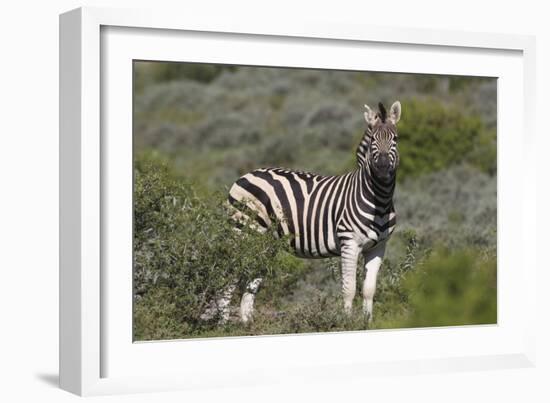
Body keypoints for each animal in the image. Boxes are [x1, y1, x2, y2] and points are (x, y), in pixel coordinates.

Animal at [222, 102, 404, 326]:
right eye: (372, 141)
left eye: (395, 139)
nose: (383, 167)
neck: (379, 199)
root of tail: (246, 175)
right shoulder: (349, 243)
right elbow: (349, 289)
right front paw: (346, 324)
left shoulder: (378, 247)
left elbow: (369, 289)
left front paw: (367, 324)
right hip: (244, 231)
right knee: (229, 273)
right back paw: (221, 324)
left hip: (265, 242)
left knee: (251, 280)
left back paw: (248, 323)